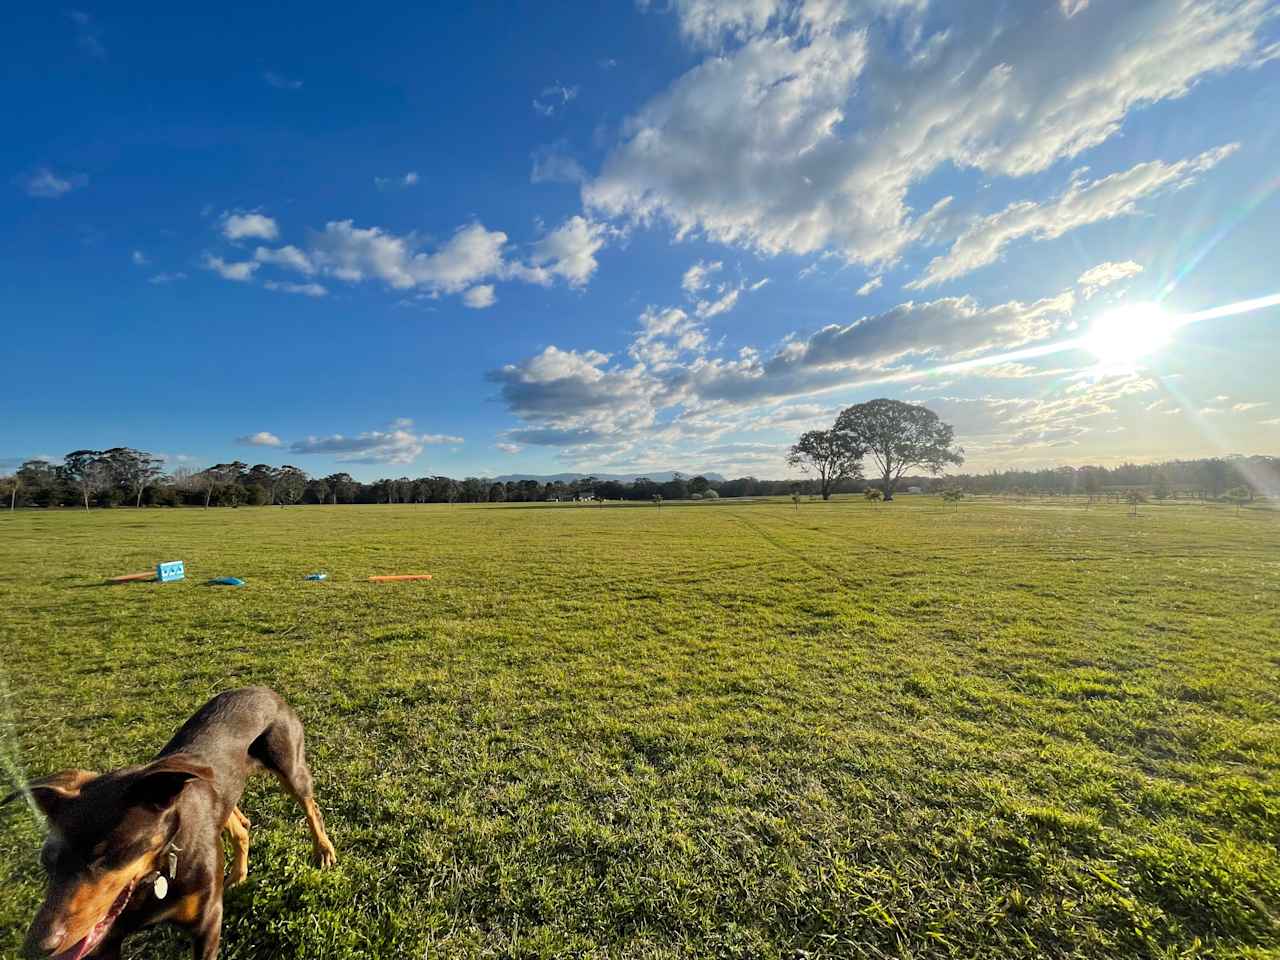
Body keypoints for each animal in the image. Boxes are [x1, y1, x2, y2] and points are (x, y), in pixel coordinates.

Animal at [0, 686, 337, 957]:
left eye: (106, 855)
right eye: (47, 861)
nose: (35, 948)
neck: (157, 873)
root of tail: (265, 690)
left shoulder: (207, 923)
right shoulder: (106, 940)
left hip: (290, 768)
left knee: (311, 809)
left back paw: (323, 851)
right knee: (240, 824)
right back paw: (237, 873)